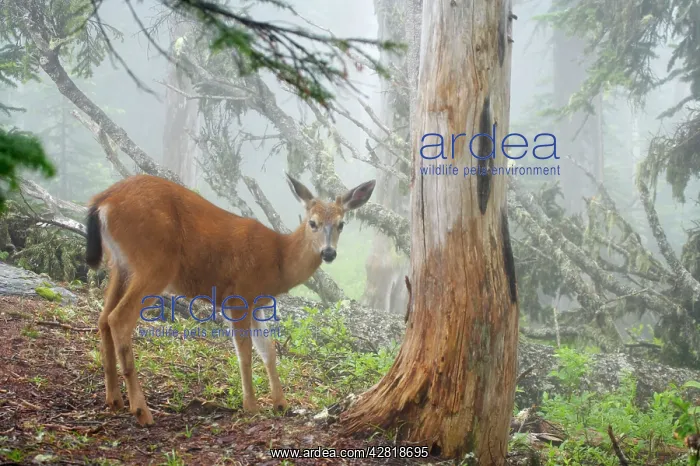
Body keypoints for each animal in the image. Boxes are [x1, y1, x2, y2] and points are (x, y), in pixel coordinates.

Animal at [84, 173, 375, 426]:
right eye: (312, 223)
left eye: (341, 224)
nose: (329, 253)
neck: (279, 260)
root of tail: (103, 200)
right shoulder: (238, 296)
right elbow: (244, 353)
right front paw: (252, 406)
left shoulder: (259, 303)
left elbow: (269, 350)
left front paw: (281, 404)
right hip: (155, 263)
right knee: (119, 318)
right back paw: (141, 411)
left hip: (120, 264)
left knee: (103, 318)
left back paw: (114, 400)